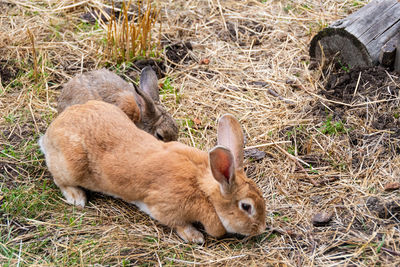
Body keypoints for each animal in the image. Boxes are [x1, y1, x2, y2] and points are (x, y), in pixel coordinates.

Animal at [39, 101, 266, 245]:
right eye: (246, 207)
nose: (261, 229)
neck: (204, 190)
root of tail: (51, 132)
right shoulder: (164, 208)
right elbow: (177, 223)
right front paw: (194, 236)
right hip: (72, 166)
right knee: (60, 179)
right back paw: (76, 197)